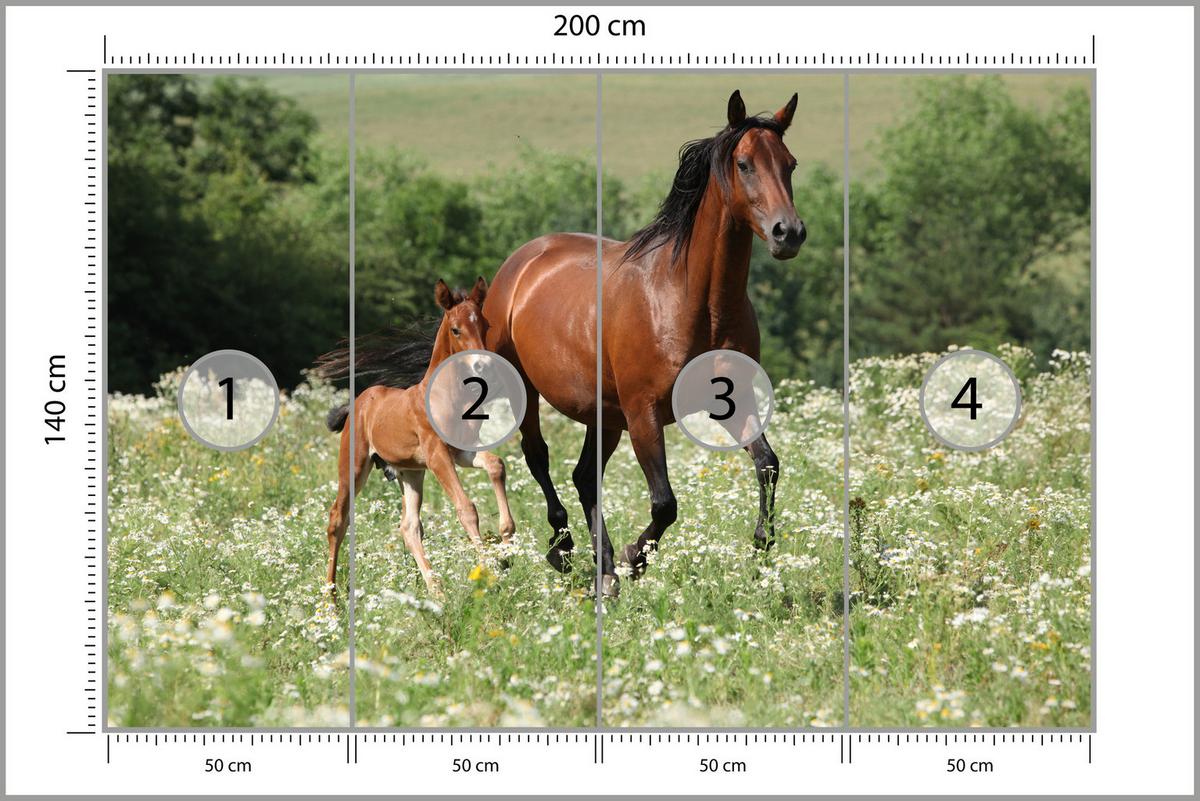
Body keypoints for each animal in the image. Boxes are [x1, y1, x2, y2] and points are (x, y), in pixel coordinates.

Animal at [316, 277, 515, 595]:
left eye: (485, 325)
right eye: (456, 329)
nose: (482, 366)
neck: (445, 395)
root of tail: (359, 402)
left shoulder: (462, 451)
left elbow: (496, 465)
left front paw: (508, 539)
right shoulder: (437, 456)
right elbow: (466, 508)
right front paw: (489, 573)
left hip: (410, 473)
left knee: (409, 527)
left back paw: (436, 590)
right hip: (354, 466)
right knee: (338, 519)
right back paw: (331, 598)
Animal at [480, 90, 806, 597]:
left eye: (790, 164)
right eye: (745, 164)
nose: (787, 233)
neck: (694, 301)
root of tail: (521, 263)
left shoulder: (731, 400)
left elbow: (768, 463)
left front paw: (761, 542)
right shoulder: (644, 413)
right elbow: (665, 503)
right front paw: (636, 557)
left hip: (604, 414)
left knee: (584, 477)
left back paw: (603, 570)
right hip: (531, 393)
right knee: (539, 457)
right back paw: (565, 550)